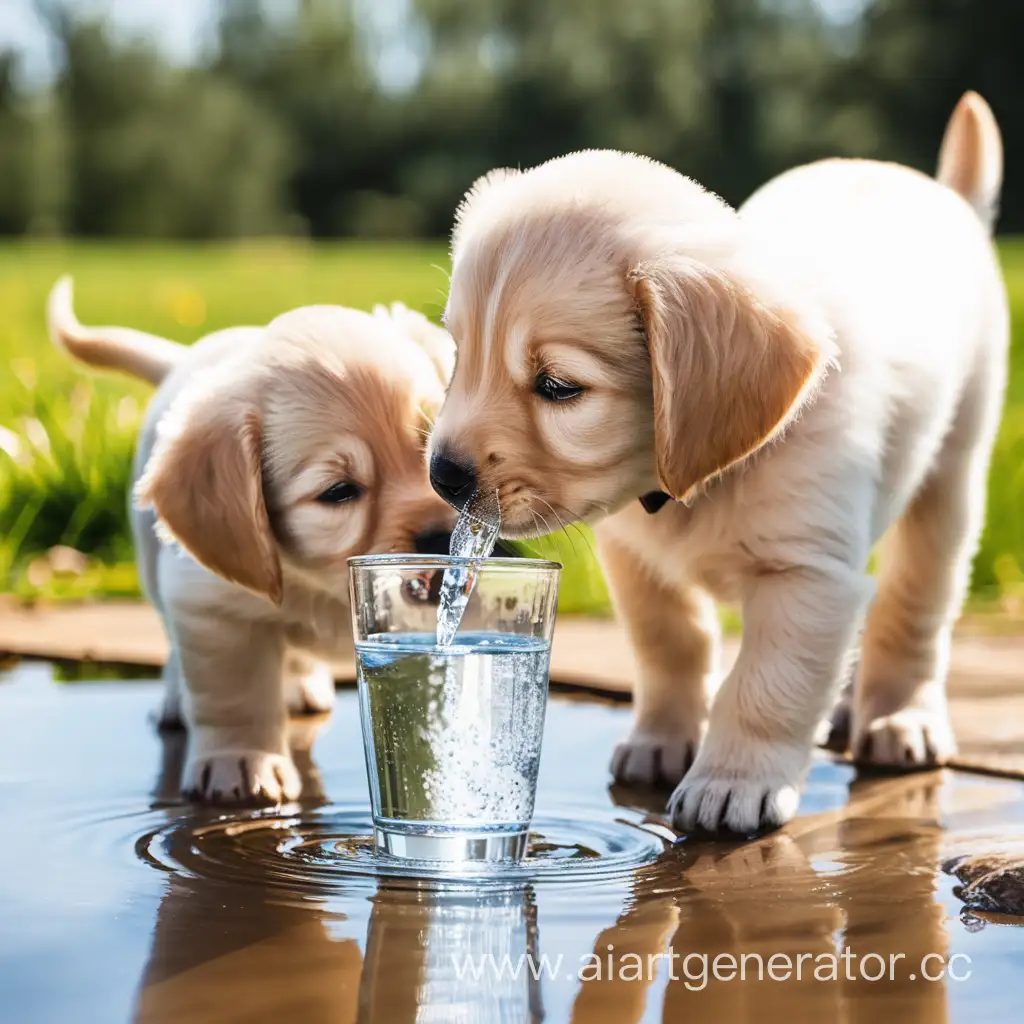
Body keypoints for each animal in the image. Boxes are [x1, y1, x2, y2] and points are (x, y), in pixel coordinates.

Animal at [48, 280, 456, 806]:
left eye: (435, 456)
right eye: (339, 492)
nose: (442, 535)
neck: (321, 583)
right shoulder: (213, 608)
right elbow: (236, 695)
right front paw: (241, 762)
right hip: (154, 570)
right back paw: (177, 700)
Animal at [425, 92, 1007, 835]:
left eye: (558, 386)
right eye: (458, 355)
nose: (443, 475)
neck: (695, 481)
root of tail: (940, 192)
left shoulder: (807, 577)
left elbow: (765, 684)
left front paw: (733, 781)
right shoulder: (634, 559)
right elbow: (670, 643)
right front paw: (662, 738)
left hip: (952, 477)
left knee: (916, 605)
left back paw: (899, 716)